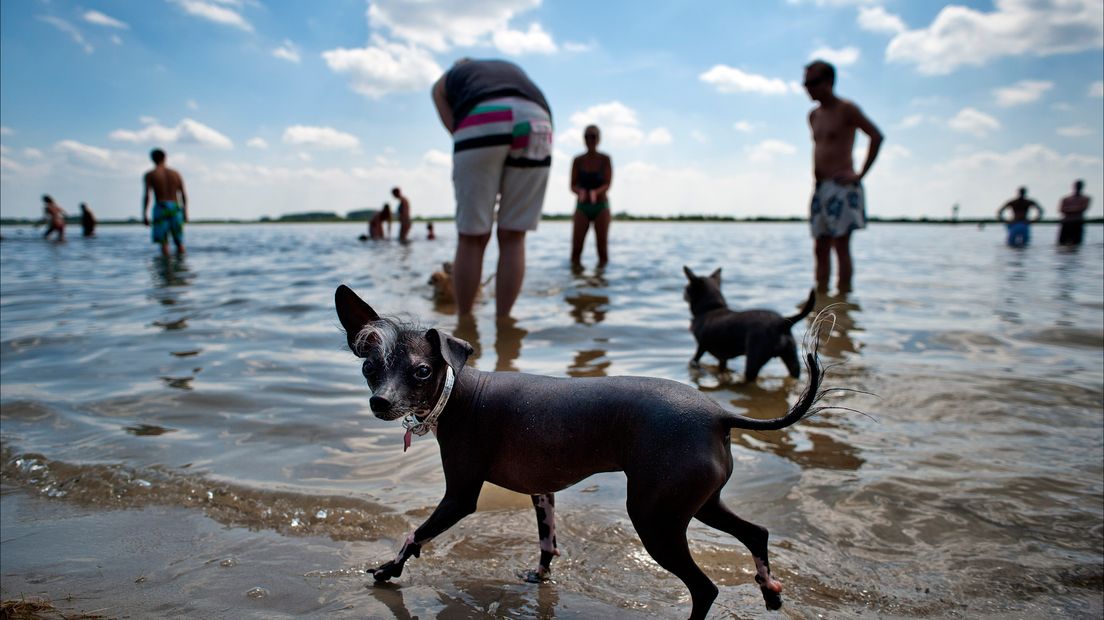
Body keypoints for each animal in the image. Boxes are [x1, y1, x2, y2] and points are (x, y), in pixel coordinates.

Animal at [335, 284, 830, 617]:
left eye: (421, 371)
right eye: (369, 366)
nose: (380, 402)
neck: (460, 393)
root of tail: (719, 413)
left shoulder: (459, 498)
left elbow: (414, 534)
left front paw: (389, 570)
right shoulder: (541, 491)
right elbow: (547, 541)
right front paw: (541, 577)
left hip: (654, 518)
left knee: (705, 588)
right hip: (698, 503)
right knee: (756, 534)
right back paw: (769, 591)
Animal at [675, 266, 816, 381]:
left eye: (686, 288)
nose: (682, 293)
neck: (711, 308)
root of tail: (782, 323)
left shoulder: (701, 347)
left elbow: (694, 360)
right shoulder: (722, 357)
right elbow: (722, 366)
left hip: (754, 359)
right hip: (791, 357)